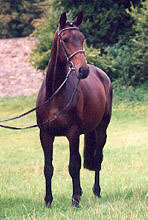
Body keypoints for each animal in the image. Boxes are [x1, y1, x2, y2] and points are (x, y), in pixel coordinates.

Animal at [35, 12, 112, 208]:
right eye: (66, 39)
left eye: (82, 39)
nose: (83, 70)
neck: (54, 93)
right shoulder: (45, 135)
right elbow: (48, 168)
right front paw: (48, 201)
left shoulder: (72, 133)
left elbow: (73, 165)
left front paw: (75, 200)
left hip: (101, 129)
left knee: (97, 159)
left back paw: (96, 192)